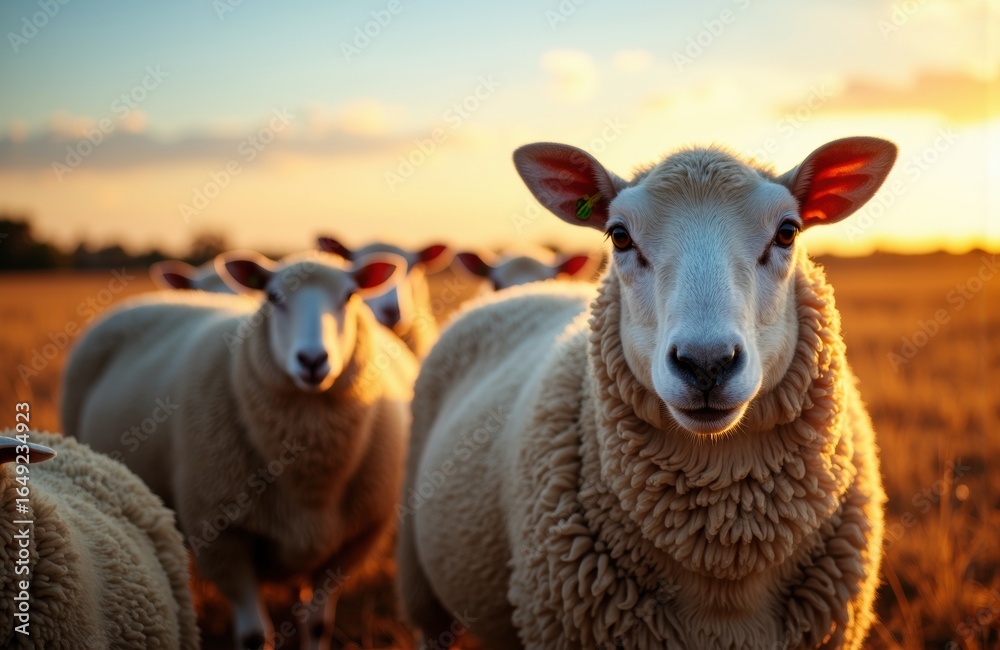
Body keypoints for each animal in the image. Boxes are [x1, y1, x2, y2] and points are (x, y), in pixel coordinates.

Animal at [60, 249, 418, 650]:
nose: (312, 360)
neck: (309, 475)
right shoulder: (222, 537)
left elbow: (317, 626)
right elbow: (252, 636)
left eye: (350, 296)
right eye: (273, 297)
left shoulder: (352, 543)